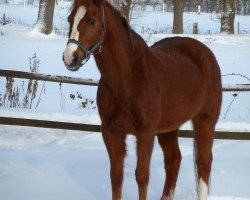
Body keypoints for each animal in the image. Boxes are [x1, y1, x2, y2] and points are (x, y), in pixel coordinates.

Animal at [62, 0, 221, 200]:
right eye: (70, 19)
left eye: (92, 21)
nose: (70, 58)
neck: (128, 80)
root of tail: (205, 53)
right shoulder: (111, 131)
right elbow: (116, 175)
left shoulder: (145, 133)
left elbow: (142, 176)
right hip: (169, 128)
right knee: (174, 160)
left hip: (205, 121)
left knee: (203, 163)